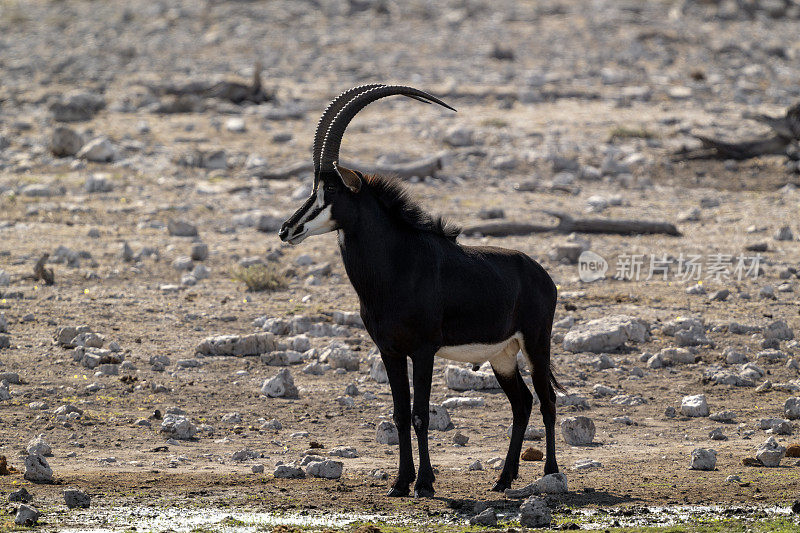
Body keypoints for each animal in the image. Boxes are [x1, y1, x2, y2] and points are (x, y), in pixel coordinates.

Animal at [282, 83, 564, 494]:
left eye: (330, 188)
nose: (287, 229)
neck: (398, 266)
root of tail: (542, 275)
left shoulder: (424, 351)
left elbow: (420, 416)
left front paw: (425, 484)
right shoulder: (390, 351)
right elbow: (400, 414)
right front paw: (401, 482)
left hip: (536, 343)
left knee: (547, 400)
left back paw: (550, 473)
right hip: (502, 355)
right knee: (522, 402)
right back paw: (502, 480)